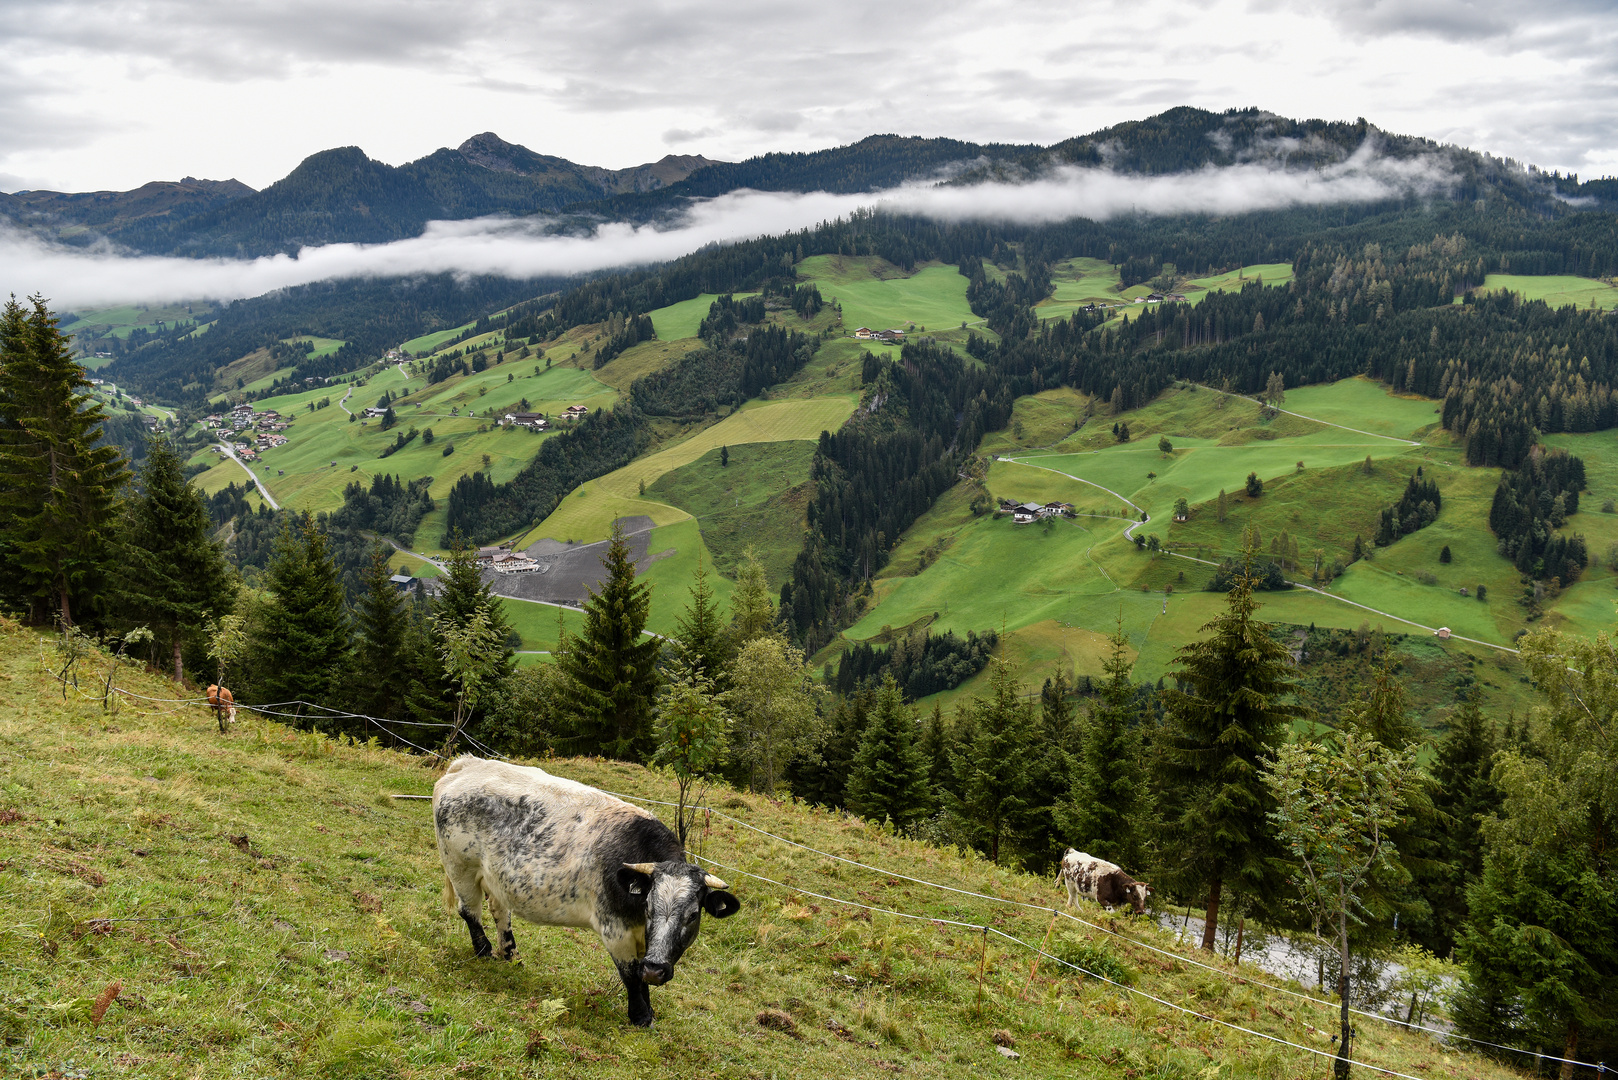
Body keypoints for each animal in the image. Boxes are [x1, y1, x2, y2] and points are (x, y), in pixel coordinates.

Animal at [433, 757, 741, 1029]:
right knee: (469, 912)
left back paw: (512, 956)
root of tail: (468, 764)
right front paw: (641, 1016)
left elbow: (640, 976)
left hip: (495, 878)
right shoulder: (615, 931)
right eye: (650, 907)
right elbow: (631, 976)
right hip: (460, 867)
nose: (656, 969)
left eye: (692, 915)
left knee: (500, 913)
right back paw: (485, 952)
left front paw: (649, 1009)